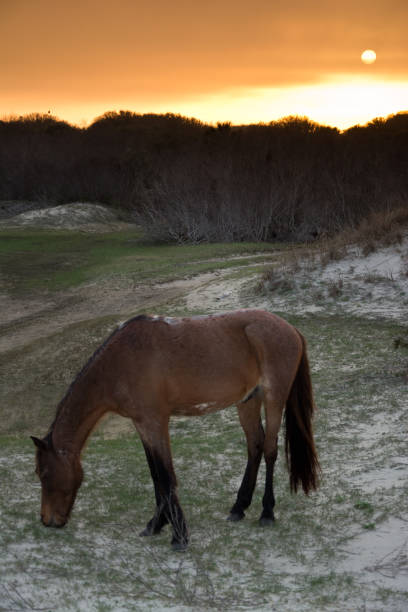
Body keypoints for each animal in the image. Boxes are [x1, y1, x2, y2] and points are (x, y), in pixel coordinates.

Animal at [31, 308, 318, 552]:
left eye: (44, 474)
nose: (47, 520)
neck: (121, 362)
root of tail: (290, 329)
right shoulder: (142, 424)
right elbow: (156, 475)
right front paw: (156, 524)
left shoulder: (155, 422)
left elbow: (166, 476)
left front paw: (179, 536)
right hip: (248, 401)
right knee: (255, 445)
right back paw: (239, 507)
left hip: (273, 398)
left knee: (269, 449)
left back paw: (267, 512)